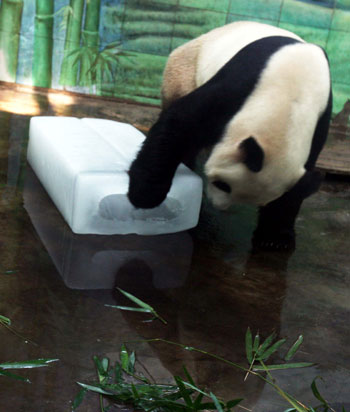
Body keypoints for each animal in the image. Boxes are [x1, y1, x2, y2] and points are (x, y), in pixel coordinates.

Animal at [127, 21, 332, 251]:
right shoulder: (242, 82)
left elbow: (299, 185)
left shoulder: (320, 120)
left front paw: (275, 238)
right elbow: (182, 122)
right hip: (185, 70)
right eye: (222, 184)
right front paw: (145, 196)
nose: (217, 204)